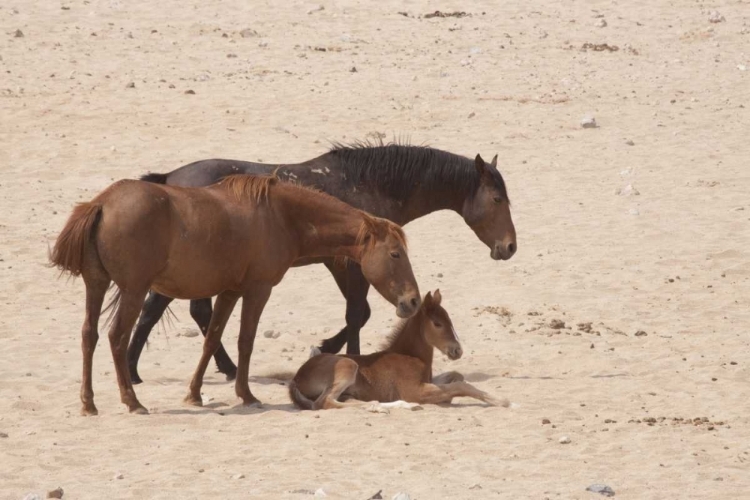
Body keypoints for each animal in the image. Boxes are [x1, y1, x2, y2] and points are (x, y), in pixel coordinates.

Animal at [51, 174, 424, 416]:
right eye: (395, 254)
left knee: (89, 335)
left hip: (96, 285)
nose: (413, 301)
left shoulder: (230, 292)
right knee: (116, 337)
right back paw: (132, 401)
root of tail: (101, 203)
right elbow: (246, 340)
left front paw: (194, 394)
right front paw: (245, 394)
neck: (281, 215)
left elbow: (212, 339)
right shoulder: (258, 290)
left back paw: (88, 403)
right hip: (133, 291)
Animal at [128, 141, 516, 382]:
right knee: (162, 310)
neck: (370, 184)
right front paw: (344, 355)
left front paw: (327, 347)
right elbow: (358, 313)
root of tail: (169, 179)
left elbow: (359, 314)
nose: (510, 246)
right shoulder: (351, 265)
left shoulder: (343, 265)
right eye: (497, 199)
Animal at [288, 290, 506, 410]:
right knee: (324, 403)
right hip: (348, 366)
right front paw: (501, 401)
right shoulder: (415, 391)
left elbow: (456, 376)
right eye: (437, 323)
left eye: (450, 320)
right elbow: (461, 386)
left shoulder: (428, 382)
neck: (410, 355)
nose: (457, 350)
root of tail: (296, 377)